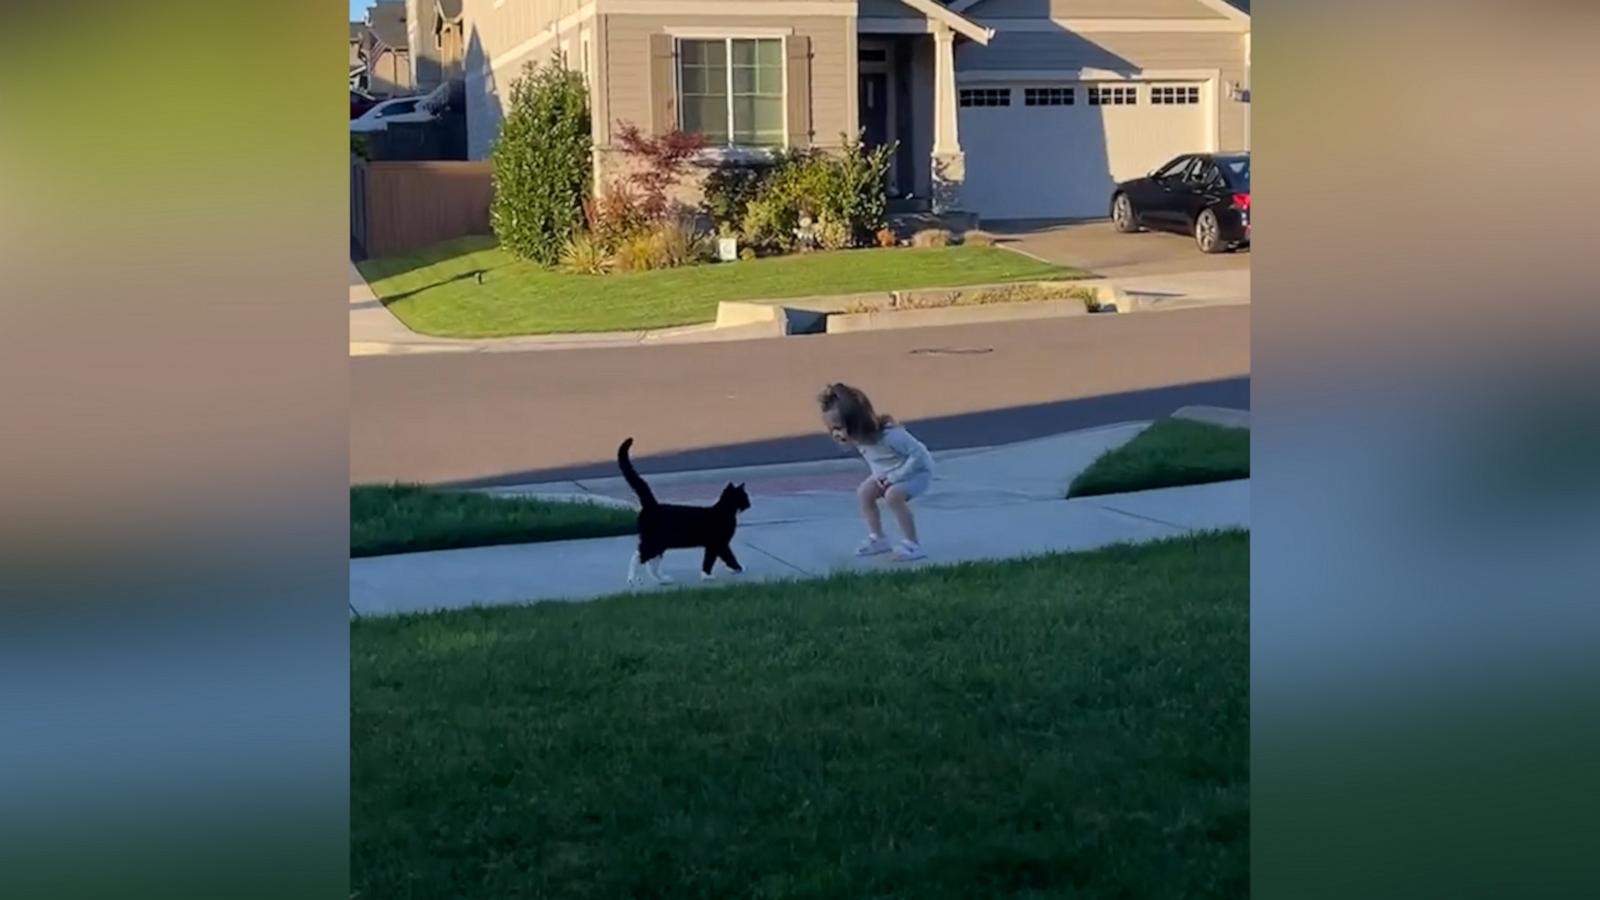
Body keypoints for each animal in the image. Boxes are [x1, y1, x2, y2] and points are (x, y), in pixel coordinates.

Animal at [617, 438, 755, 586]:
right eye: (745, 497)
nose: (749, 504)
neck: (724, 511)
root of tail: (652, 505)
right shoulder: (718, 543)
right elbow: (724, 557)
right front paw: (732, 569)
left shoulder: (715, 545)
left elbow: (715, 558)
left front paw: (714, 573)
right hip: (653, 541)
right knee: (638, 556)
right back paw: (632, 579)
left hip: (659, 543)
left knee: (652, 563)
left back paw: (663, 579)